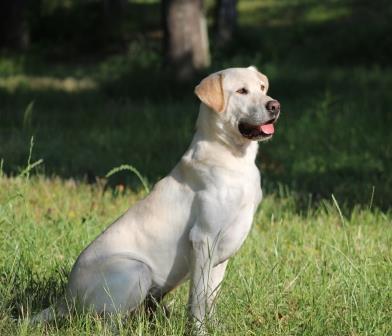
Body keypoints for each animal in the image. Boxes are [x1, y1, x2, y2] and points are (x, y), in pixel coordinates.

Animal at [33, 66, 278, 334]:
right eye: (242, 91)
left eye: (262, 88)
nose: (274, 105)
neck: (233, 157)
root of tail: (65, 298)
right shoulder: (203, 239)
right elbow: (198, 299)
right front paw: (199, 330)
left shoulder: (221, 254)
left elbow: (211, 297)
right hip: (136, 270)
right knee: (106, 323)